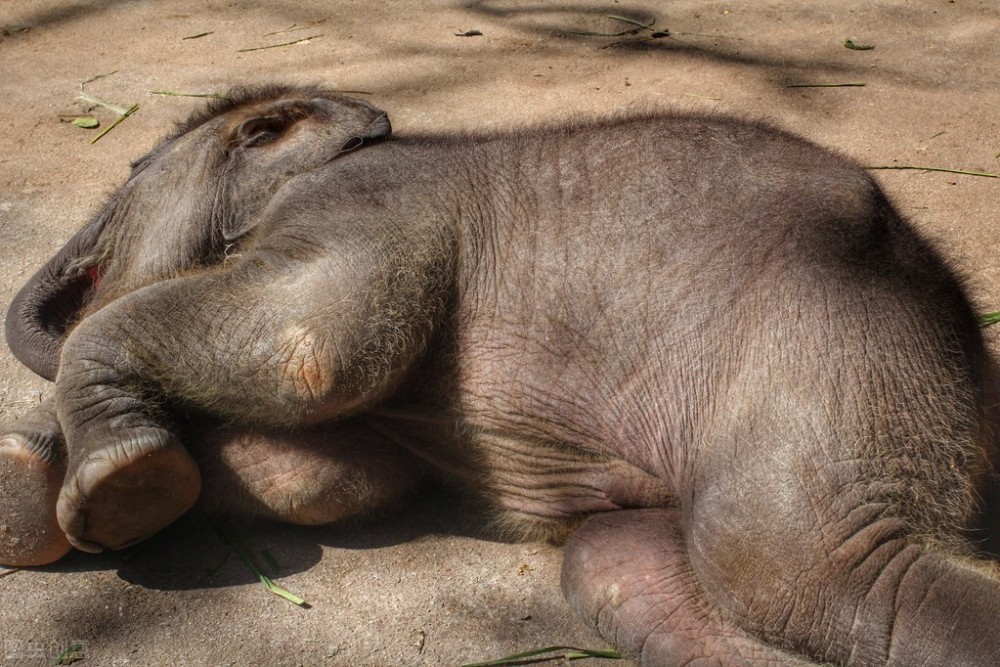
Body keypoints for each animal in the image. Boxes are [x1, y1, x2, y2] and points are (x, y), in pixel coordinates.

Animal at [2, 83, 999, 665]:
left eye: (134, 165)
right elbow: (318, 476)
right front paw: (30, 486)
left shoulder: (371, 204)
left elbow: (314, 346)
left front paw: (98, 484)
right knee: (619, 566)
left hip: (840, 324)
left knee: (787, 557)